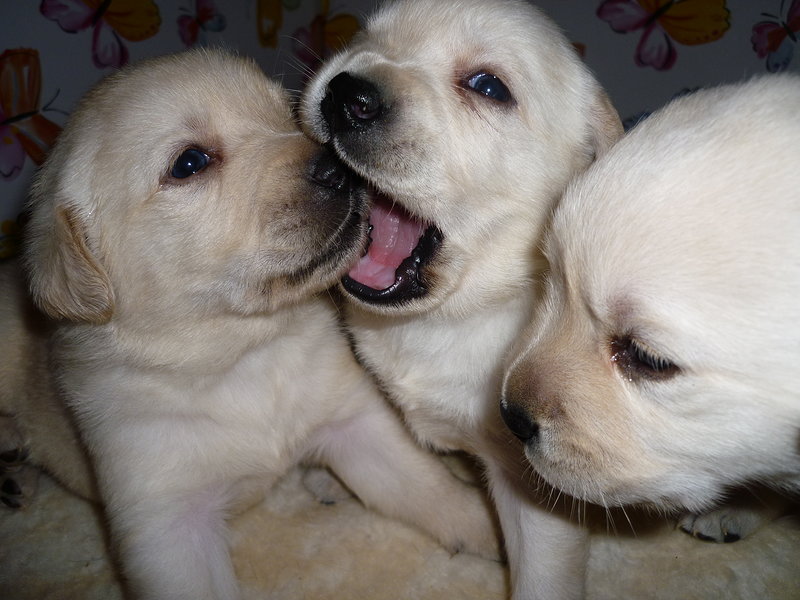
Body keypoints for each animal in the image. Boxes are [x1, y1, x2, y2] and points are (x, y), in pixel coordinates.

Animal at [300, 1, 624, 596]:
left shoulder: (537, 482)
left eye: (487, 86)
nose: (345, 94)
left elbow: (540, 578)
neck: (454, 318)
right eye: (365, 36)